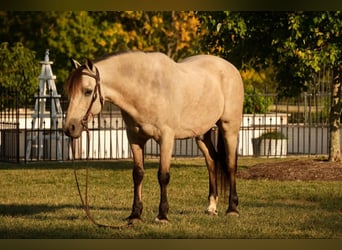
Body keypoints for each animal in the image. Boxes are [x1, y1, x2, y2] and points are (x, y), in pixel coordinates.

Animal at [64, 50, 244, 223]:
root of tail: (230, 67)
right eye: (69, 91)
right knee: (211, 161)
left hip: (229, 129)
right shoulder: (135, 138)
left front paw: (162, 216)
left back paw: (233, 209)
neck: (147, 89)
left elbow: (163, 176)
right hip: (201, 134)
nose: (69, 128)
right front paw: (135, 215)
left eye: (87, 92)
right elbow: (138, 174)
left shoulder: (166, 138)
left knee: (230, 165)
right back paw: (211, 207)